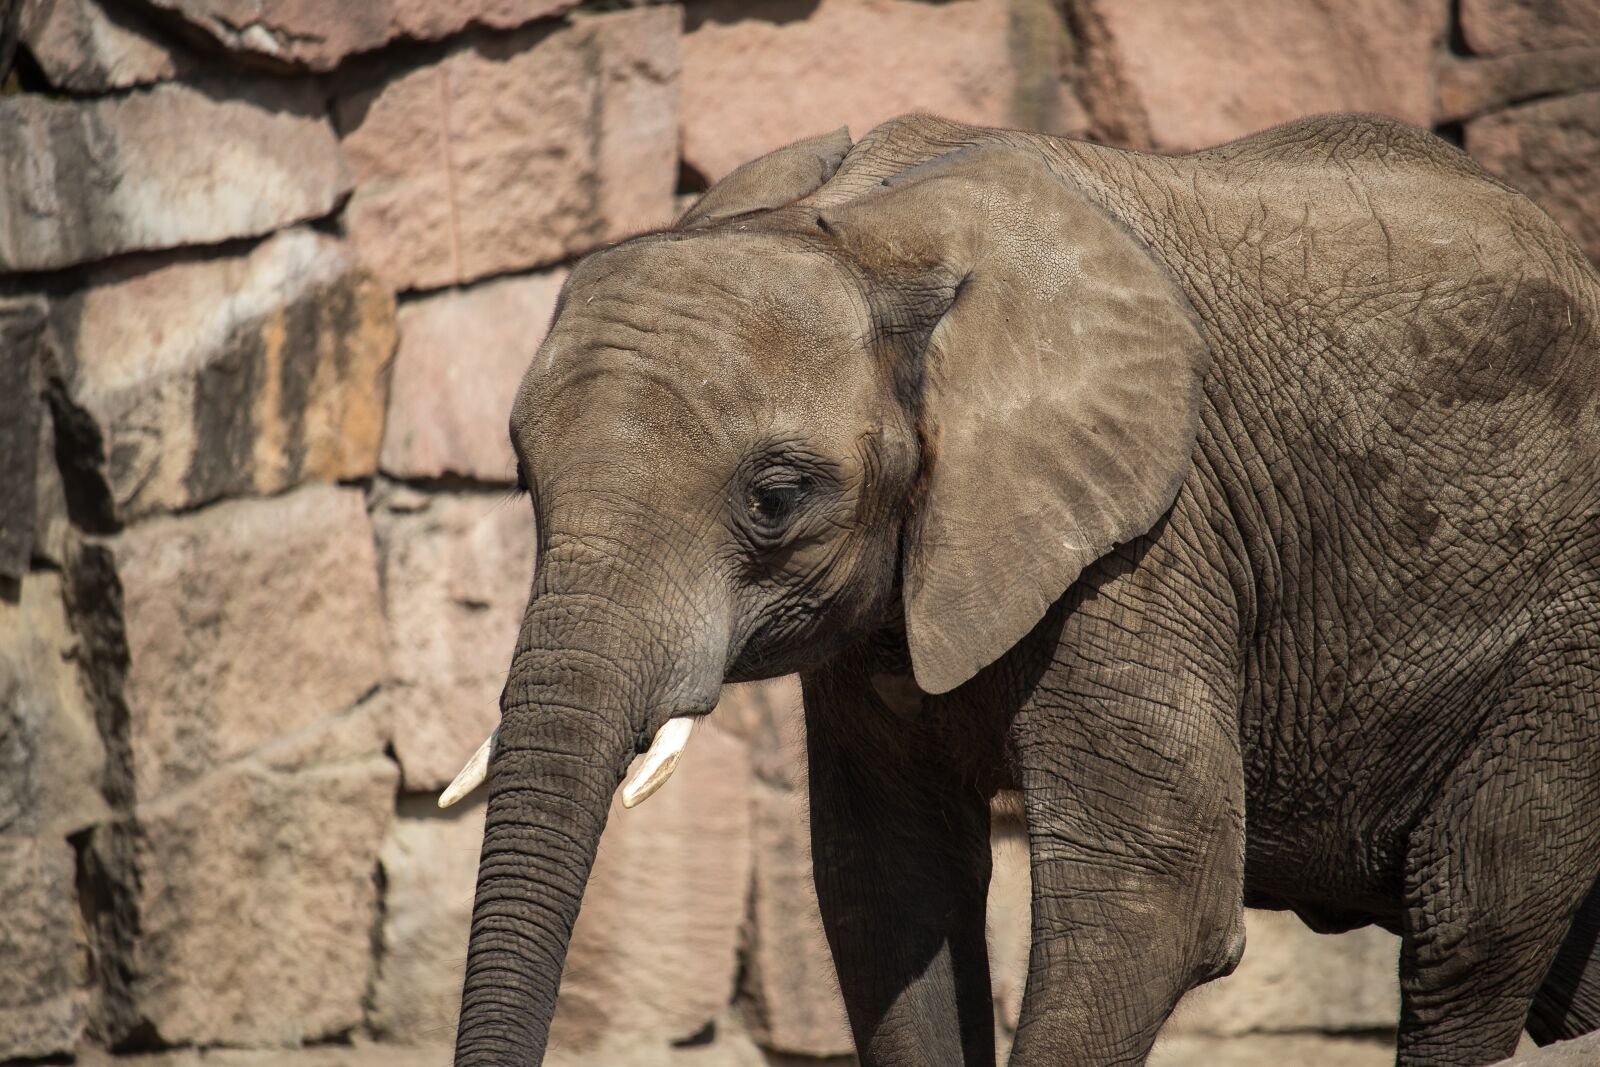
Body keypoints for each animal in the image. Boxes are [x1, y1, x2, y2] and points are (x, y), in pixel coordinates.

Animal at [442, 112, 1600, 1067]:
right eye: (524, 478)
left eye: (776, 496)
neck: (869, 230)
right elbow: (889, 887)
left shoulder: (1148, 540)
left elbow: (1154, 895)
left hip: (1564, 638)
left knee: (1470, 920)